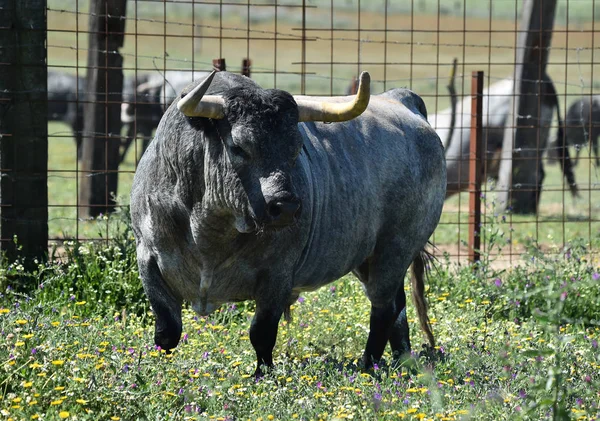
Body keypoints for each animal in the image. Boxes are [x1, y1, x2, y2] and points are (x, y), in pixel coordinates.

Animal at [132, 70, 450, 376]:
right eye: (238, 147)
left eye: (296, 149)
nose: (284, 207)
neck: (209, 227)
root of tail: (403, 100)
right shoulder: (147, 257)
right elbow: (167, 331)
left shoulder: (278, 274)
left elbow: (261, 334)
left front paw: (261, 376)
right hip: (370, 259)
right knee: (397, 306)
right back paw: (403, 361)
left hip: (395, 249)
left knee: (384, 308)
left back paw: (369, 366)